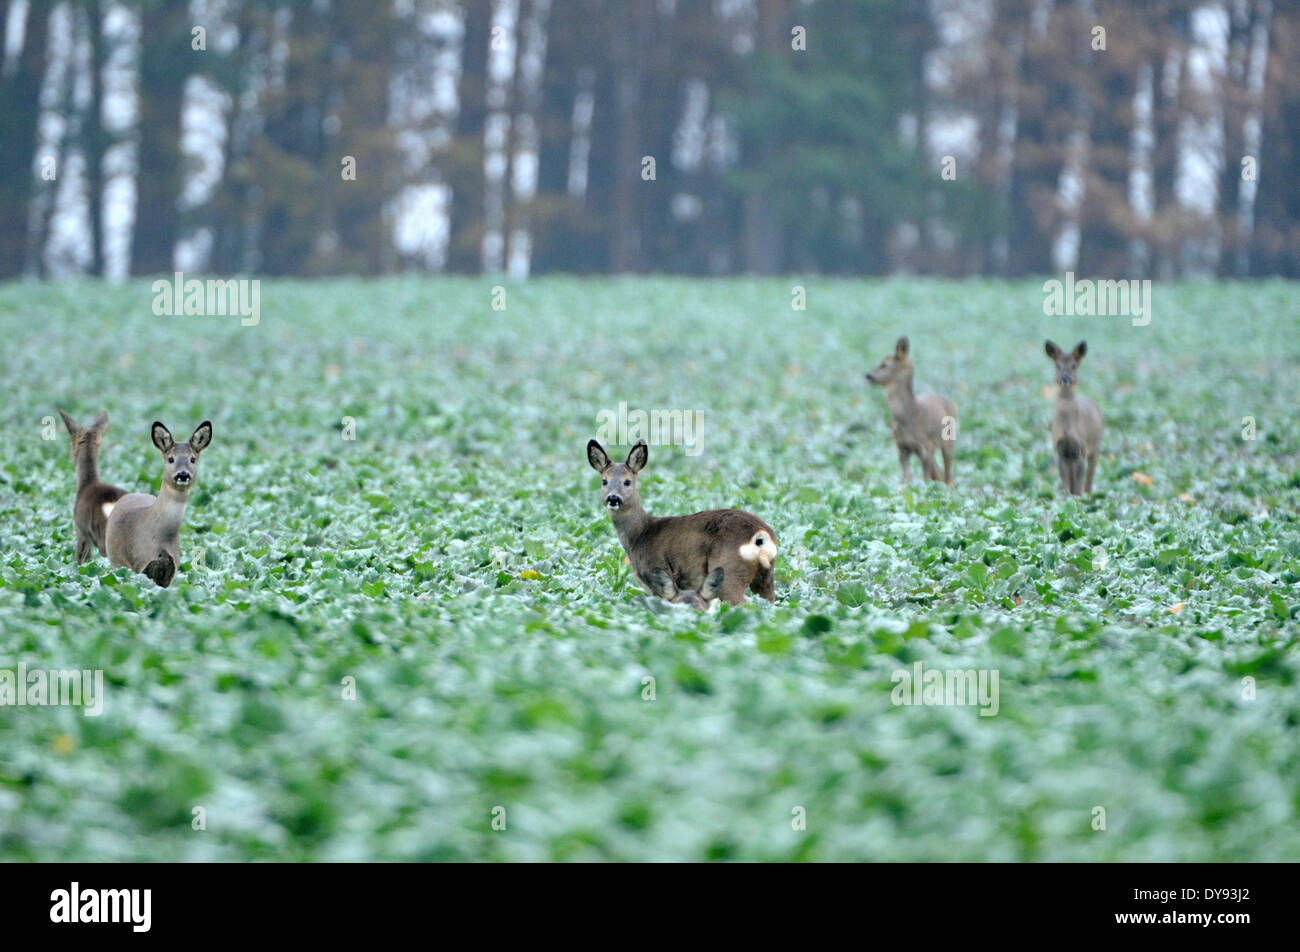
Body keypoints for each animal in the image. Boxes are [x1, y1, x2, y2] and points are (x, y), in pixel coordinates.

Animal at [57, 410, 128, 564]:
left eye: (71, 444)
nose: (70, 458)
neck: (86, 484)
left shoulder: (81, 532)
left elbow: (81, 559)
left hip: (105, 540)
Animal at [103, 421, 213, 587]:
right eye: (171, 459)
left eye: (193, 459)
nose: (182, 475)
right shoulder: (139, 562)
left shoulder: (171, 569)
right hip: (116, 561)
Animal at [586, 439, 776, 609]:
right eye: (604, 481)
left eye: (627, 481)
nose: (613, 498)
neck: (640, 535)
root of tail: (760, 536)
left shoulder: (656, 577)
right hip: (765, 577)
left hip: (729, 572)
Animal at [865, 335, 957, 486]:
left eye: (884, 364)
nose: (868, 375)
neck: (910, 416)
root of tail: (953, 404)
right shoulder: (902, 448)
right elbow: (906, 479)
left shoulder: (925, 447)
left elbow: (925, 480)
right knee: (939, 473)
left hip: (948, 440)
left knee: (948, 475)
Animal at [1044, 340, 1102, 496]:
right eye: (1057, 366)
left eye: (1074, 366)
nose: (1065, 379)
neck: (1067, 427)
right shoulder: (1059, 449)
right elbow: (1065, 478)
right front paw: (1066, 495)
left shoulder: (1081, 447)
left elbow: (1078, 480)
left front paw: (1078, 497)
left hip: (1096, 446)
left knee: (1090, 474)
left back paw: (1088, 493)